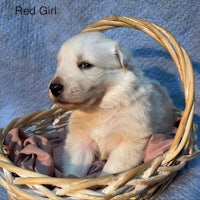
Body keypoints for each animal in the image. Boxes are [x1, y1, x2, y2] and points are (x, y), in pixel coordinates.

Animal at [48, 32, 175, 177]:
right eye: (59, 64)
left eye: (85, 64)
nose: (54, 87)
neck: (101, 107)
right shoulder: (80, 141)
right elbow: (74, 168)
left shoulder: (128, 143)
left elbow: (110, 170)